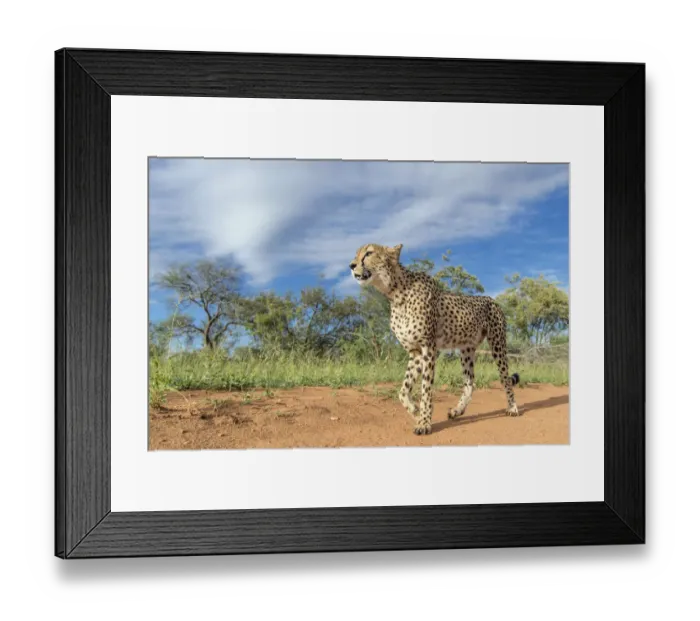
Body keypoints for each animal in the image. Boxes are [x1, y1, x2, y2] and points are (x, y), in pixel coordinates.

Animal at [350, 242, 520, 435]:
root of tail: (492, 299)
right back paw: (457, 410)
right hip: (466, 350)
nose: (351, 265)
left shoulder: (428, 348)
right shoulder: (416, 351)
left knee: (505, 378)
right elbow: (403, 390)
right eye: (356, 254)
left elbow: (426, 390)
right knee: (470, 382)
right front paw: (415, 411)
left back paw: (513, 407)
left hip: (497, 344)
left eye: (368, 253)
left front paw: (424, 422)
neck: (395, 293)